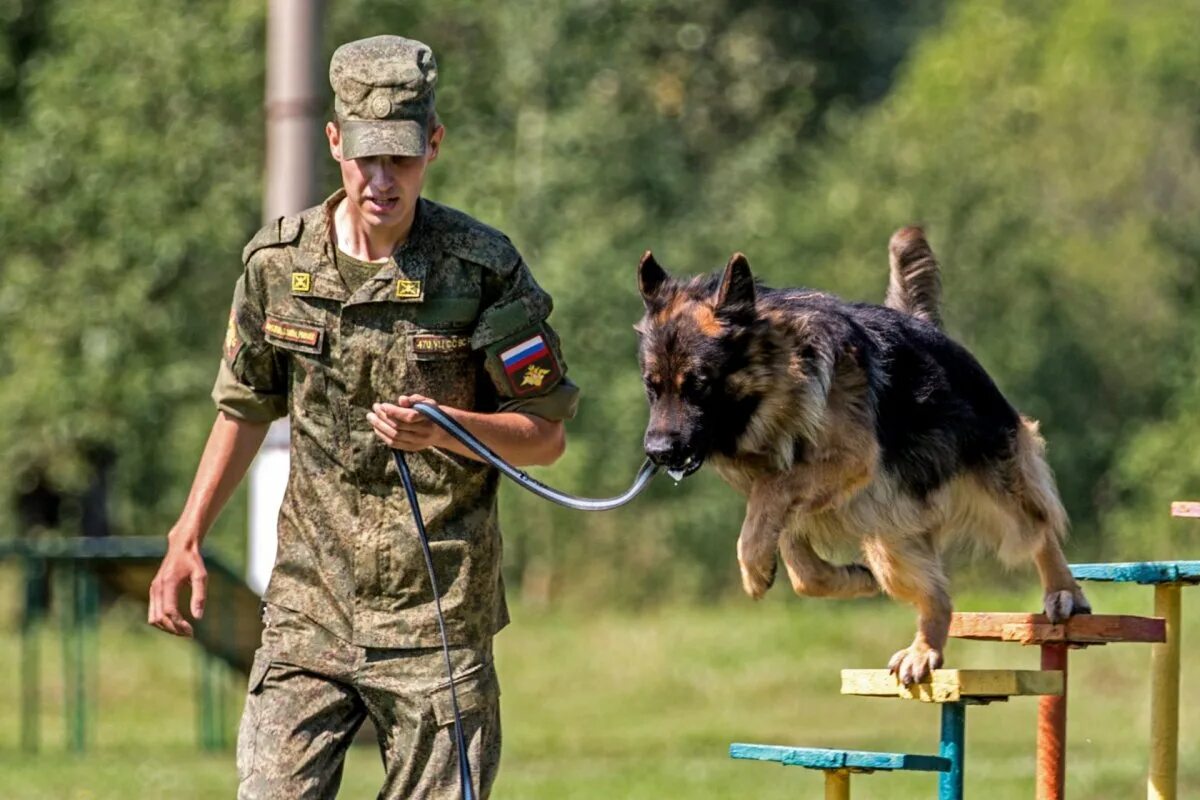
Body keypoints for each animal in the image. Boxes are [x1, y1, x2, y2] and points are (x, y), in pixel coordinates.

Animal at [643, 227, 1094, 686]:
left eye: (698, 385)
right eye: (651, 387)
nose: (657, 452)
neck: (779, 387)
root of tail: (924, 325)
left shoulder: (845, 461)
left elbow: (771, 497)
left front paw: (753, 568)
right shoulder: (793, 499)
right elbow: (799, 565)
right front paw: (845, 577)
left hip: (992, 486)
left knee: (1037, 529)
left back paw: (1063, 591)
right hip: (890, 538)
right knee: (937, 595)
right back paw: (923, 649)